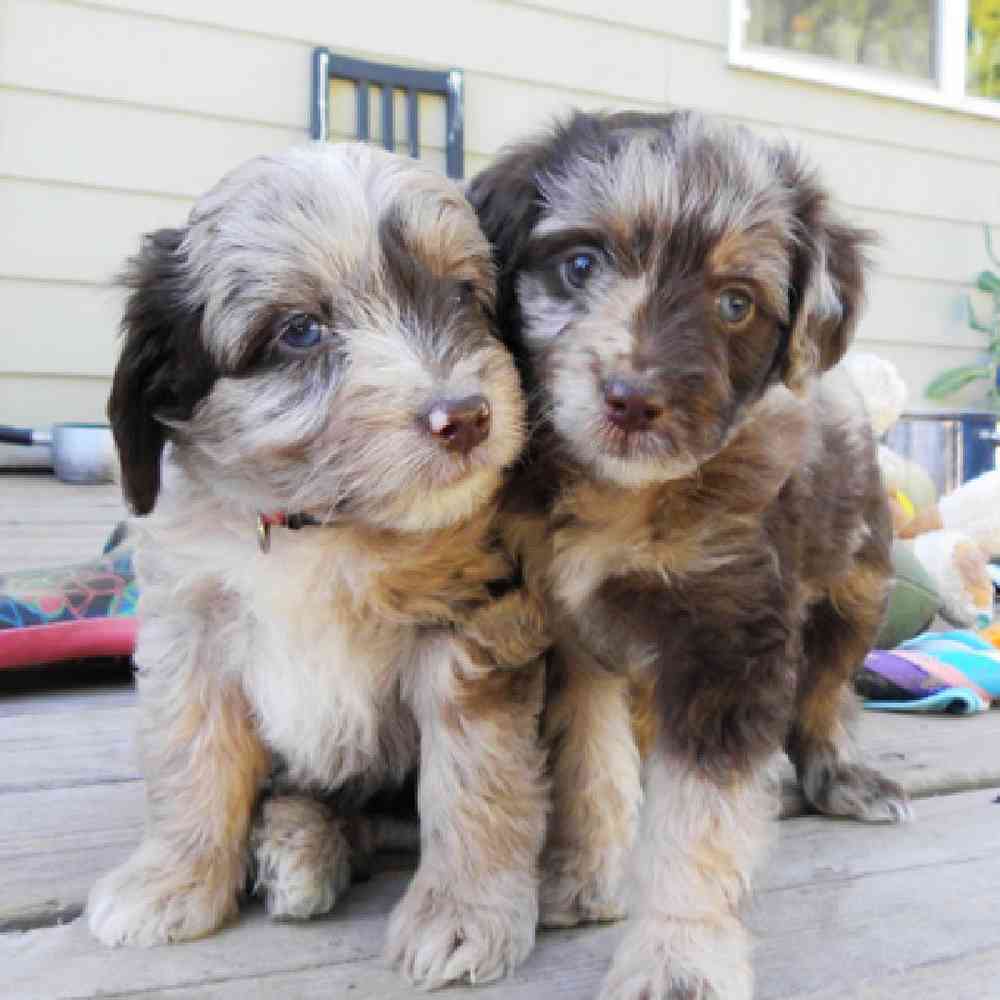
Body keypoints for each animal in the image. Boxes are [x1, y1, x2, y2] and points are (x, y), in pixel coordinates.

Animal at [87, 145, 552, 988]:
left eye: (462, 295)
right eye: (299, 331)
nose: (467, 417)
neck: (321, 525)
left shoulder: (475, 624)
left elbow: (476, 774)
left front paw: (464, 914)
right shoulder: (190, 627)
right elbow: (189, 756)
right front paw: (171, 880)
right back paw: (295, 844)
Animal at [472, 109, 912, 1000]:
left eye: (736, 303)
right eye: (580, 264)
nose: (633, 400)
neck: (627, 494)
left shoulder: (729, 636)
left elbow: (699, 820)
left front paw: (678, 957)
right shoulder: (571, 631)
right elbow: (590, 760)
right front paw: (585, 878)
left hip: (858, 586)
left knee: (825, 696)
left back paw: (841, 776)